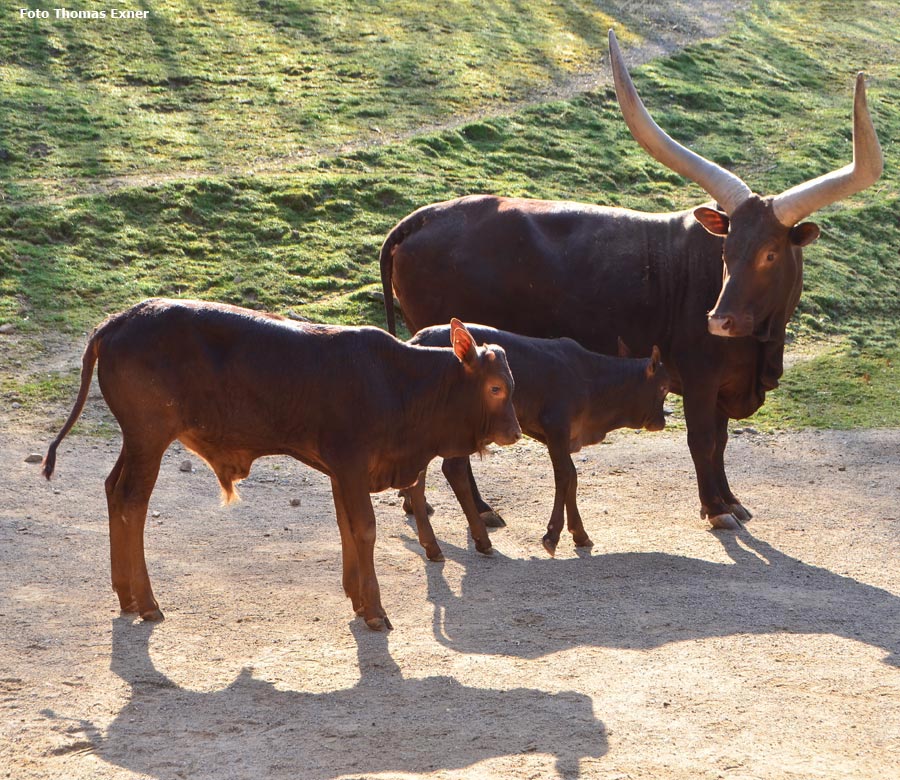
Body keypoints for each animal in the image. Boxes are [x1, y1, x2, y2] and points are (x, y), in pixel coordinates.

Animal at [44, 296, 520, 632]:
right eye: (496, 387)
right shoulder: (351, 465)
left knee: (112, 489)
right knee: (132, 501)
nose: (515, 432)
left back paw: (125, 594)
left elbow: (347, 526)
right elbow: (364, 529)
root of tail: (122, 319)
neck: (396, 383)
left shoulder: (340, 471)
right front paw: (374, 608)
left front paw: (357, 597)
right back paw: (146, 601)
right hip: (149, 437)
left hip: (137, 439)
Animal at [376, 30, 884, 532]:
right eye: (726, 250)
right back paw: (478, 509)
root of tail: (419, 219)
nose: (719, 320)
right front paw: (715, 509)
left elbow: (721, 442)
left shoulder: (722, 386)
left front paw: (730, 500)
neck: (759, 343)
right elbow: (703, 440)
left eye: (770, 253)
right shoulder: (699, 380)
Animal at [400, 326, 668, 556]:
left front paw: (579, 533)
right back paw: (480, 536)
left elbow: (572, 477)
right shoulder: (556, 428)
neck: (591, 380)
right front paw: (553, 534)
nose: (662, 422)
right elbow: (565, 475)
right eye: (664, 387)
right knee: (454, 469)